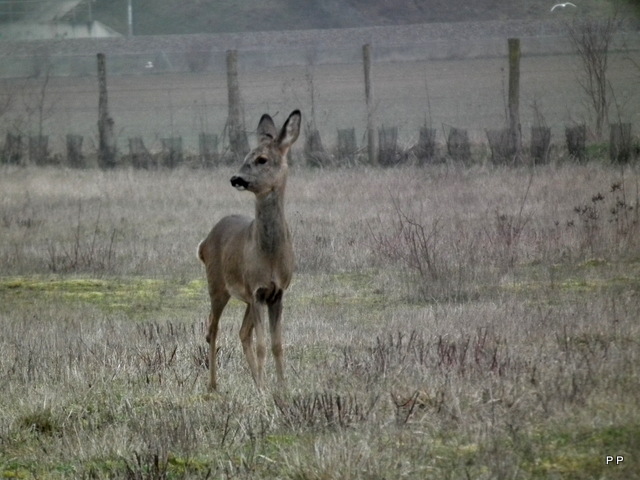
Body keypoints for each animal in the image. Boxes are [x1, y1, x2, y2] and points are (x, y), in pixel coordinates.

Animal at [198, 109, 302, 390]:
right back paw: (213, 385)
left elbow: (276, 344)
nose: (236, 179)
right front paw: (268, 387)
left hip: (243, 295)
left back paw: (257, 381)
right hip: (217, 285)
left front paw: (281, 386)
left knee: (242, 332)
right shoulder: (256, 290)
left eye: (262, 159)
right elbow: (262, 345)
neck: (269, 256)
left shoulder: (276, 292)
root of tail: (204, 243)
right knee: (212, 330)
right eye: (245, 157)